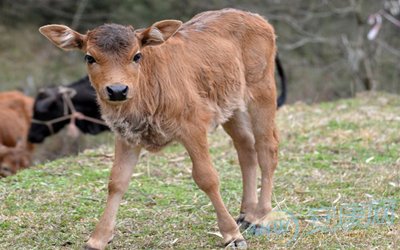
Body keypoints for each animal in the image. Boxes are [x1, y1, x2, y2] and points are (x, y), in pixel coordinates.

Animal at [39, 8, 278, 249]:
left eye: (137, 55)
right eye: (90, 57)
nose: (117, 90)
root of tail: (257, 18)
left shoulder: (193, 126)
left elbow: (207, 178)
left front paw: (231, 235)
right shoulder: (126, 136)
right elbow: (117, 181)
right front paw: (97, 238)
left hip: (263, 90)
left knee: (267, 148)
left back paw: (260, 217)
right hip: (231, 106)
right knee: (246, 146)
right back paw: (246, 214)